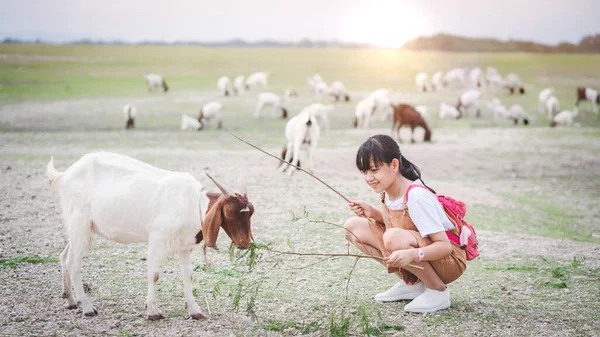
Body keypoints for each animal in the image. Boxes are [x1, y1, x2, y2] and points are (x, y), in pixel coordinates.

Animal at [47, 152, 253, 320]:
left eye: (250, 213)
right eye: (231, 214)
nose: (246, 243)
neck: (194, 203)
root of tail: (64, 176)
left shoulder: (184, 245)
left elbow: (188, 275)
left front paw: (195, 310)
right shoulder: (157, 238)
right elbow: (154, 274)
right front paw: (153, 311)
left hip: (83, 229)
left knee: (64, 256)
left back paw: (70, 300)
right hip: (79, 223)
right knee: (73, 262)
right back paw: (87, 307)